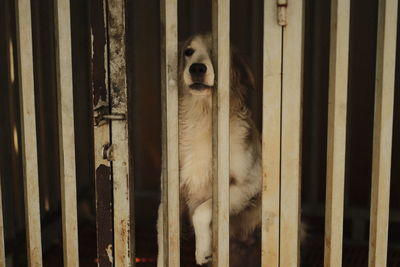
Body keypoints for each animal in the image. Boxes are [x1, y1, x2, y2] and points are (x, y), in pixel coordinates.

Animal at [156, 34, 262, 267]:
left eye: (218, 50)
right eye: (188, 51)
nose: (197, 68)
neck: (202, 115)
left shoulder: (250, 184)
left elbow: (202, 210)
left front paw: (202, 250)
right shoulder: (170, 194)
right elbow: (164, 236)